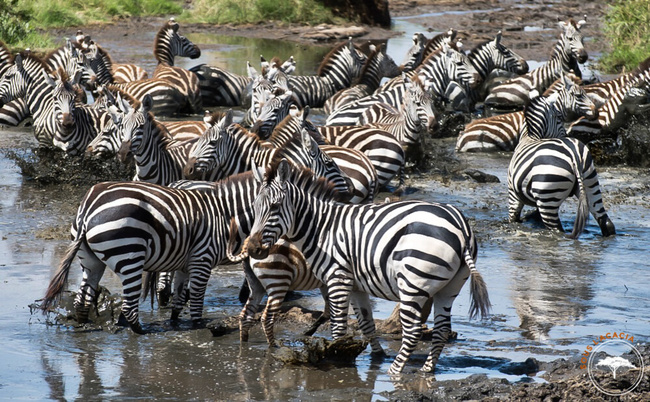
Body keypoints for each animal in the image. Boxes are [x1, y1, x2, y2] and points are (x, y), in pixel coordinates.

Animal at [504, 75, 616, 237]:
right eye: (558, 118)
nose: (565, 135)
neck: (530, 136)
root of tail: (574, 155)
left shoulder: (513, 195)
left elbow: (514, 219)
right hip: (591, 182)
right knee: (606, 222)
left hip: (548, 196)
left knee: (557, 230)